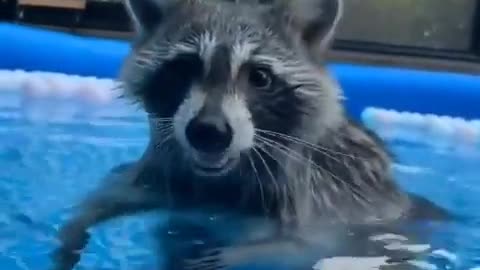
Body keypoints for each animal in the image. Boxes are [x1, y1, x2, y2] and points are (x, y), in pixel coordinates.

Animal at [50, 0, 452, 270]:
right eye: (184, 68)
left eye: (259, 77)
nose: (209, 132)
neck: (219, 177)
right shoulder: (165, 167)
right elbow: (113, 192)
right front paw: (76, 226)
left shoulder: (319, 197)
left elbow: (301, 243)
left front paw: (239, 252)